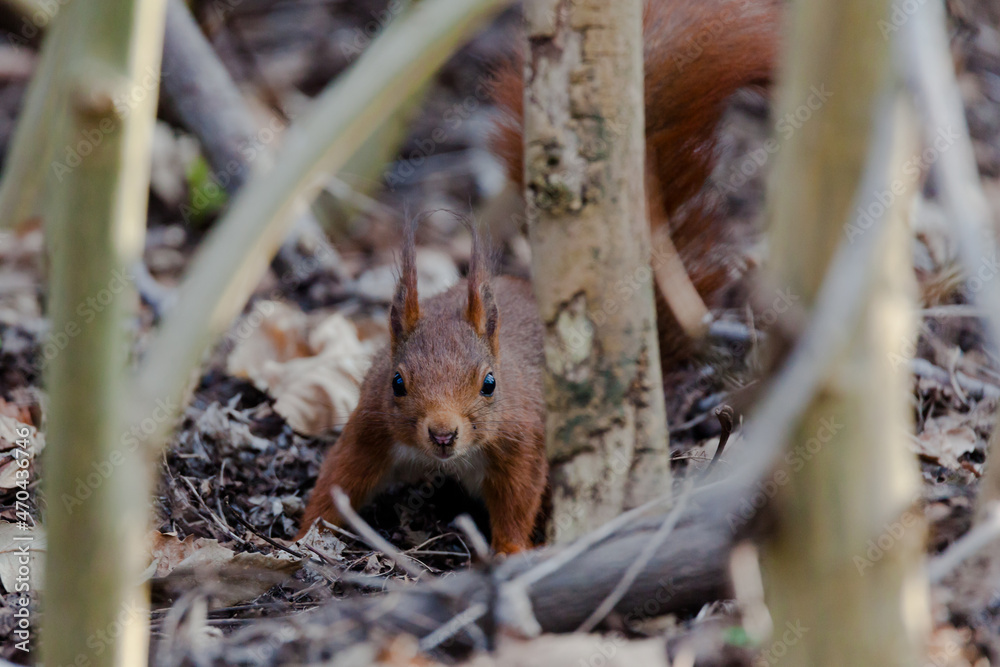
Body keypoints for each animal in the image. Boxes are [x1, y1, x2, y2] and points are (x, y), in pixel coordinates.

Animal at [297, 0, 779, 552]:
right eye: (398, 383)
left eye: (489, 383)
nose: (442, 434)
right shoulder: (372, 424)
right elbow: (341, 474)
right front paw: (305, 534)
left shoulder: (522, 435)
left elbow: (518, 494)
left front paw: (509, 551)